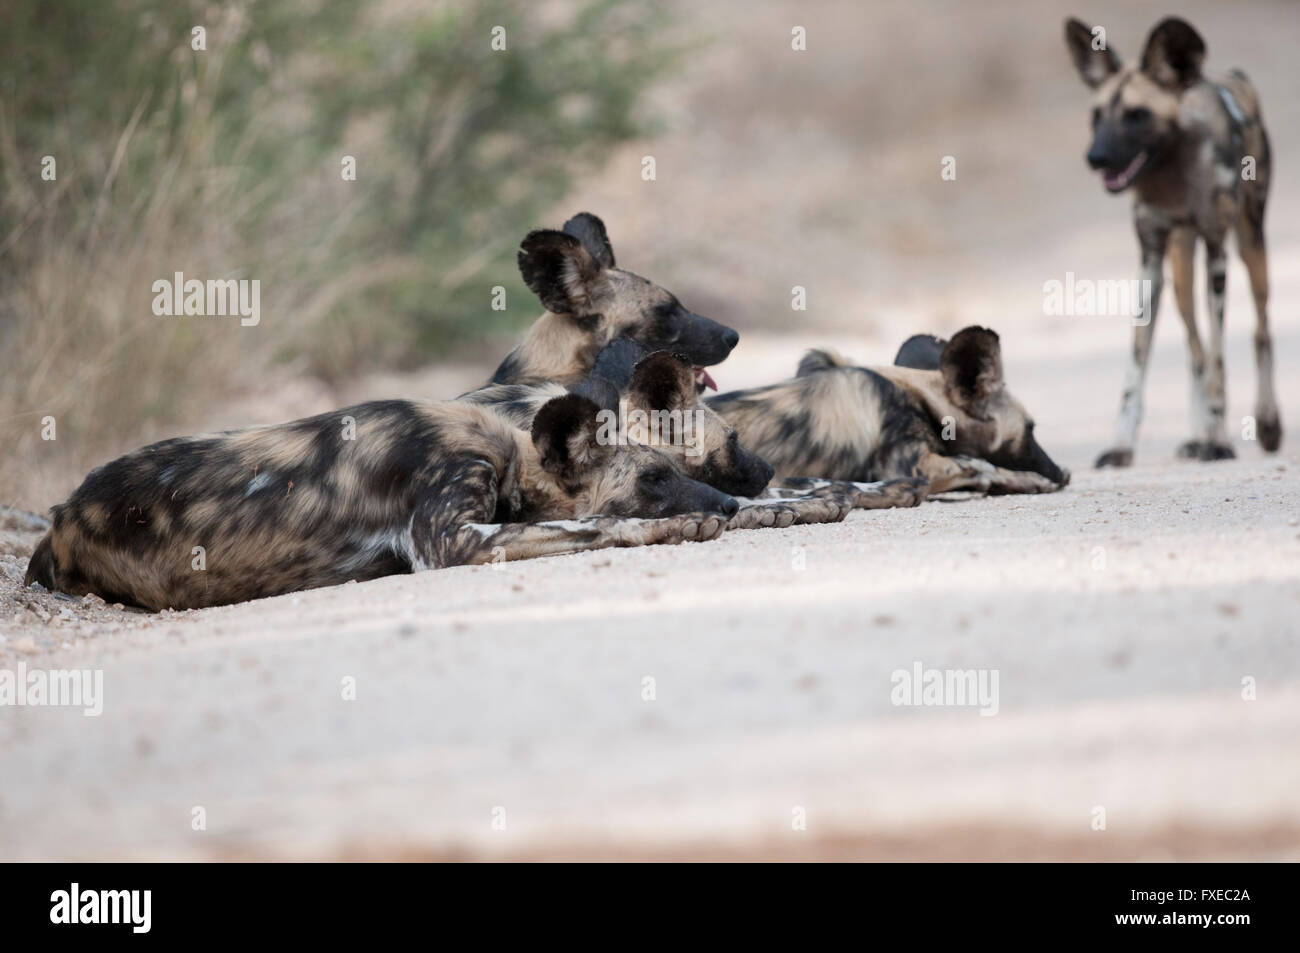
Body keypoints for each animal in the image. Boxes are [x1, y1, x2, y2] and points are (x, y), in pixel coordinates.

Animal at [25, 395, 738, 608]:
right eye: (654, 479)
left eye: (679, 467)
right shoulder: (451, 539)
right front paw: (682, 525)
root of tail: (61, 513)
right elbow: (593, 526)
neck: (510, 459)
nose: (730, 506)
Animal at [707, 327, 1071, 494]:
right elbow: (982, 465)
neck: (919, 397)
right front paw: (1029, 480)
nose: (1064, 472)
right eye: (1029, 430)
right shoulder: (914, 465)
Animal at [1066, 12, 1279, 465]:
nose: (1095, 158)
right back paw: (1197, 436)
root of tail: (1229, 75)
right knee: (1193, 348)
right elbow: (1138, 367)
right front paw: (1121, 446)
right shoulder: (1150, 262)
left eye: (1136, 115)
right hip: (1180, 267)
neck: (1173, 176)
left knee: (1259, 330)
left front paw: (1219, 441)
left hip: (1250, 245)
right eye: (1097, 115)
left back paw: (1266, 424)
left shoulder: (1217, 254)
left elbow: (1219, 358)